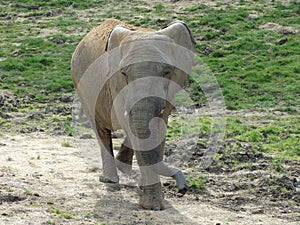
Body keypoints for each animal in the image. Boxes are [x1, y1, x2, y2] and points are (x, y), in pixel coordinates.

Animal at [71, 18, 196, 210]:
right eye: (124, 73)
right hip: (81, 86)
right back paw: (110, 180)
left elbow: (159, 126)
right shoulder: (115, 85)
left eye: (167, 72)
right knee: (100, 129)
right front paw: (153, 206)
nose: (183, 188)